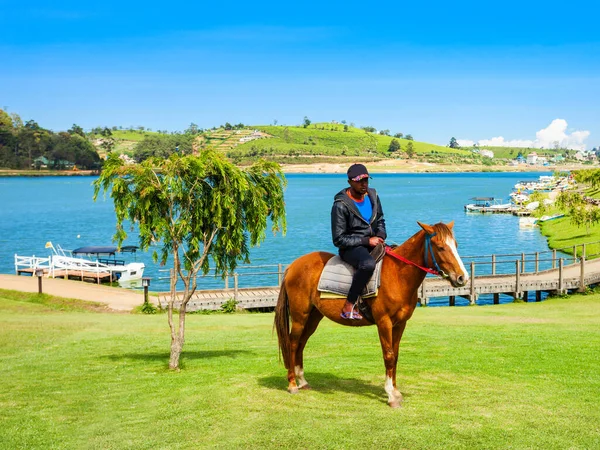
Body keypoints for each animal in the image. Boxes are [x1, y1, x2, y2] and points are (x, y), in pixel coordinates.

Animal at [276, 221, 468, 408]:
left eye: (455, 245)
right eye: (440, 247)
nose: (462, 278)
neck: (398, 275)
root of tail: (293, 266)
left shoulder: (400, 324)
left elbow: (395, 356)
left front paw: (396, 391)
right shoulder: (384, 322)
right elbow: (388, 356)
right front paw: (391, 395)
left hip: (313, 317)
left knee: (301, 344)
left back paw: (302, 381)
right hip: (300, 316)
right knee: (292, 343)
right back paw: (292, 384)